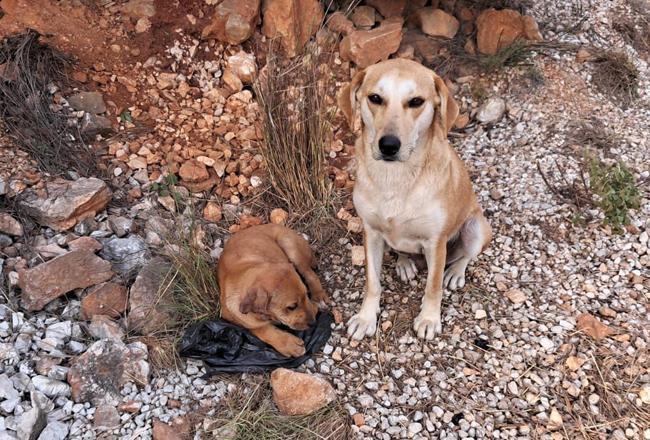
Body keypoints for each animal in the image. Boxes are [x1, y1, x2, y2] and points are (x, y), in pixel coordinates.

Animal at [218, 223, 330, 358]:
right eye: (291, 307)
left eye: (306, 294)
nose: (313, 323)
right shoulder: (233, 317)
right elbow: (260, 328)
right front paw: (289, 345)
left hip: (290, 245)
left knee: (310, 274)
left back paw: (319, 296)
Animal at [340, 58, 492, 340]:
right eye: (375, 98)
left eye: (416, 101)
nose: (389, 145)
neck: (396, 178)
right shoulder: (371, 233)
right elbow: (372, 282)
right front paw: (366, 317)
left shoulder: (435, 242)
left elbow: (433, 286)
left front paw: (429, 319)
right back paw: (405, 263)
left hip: (477, 228)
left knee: (466, 255)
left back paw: (455, 272)